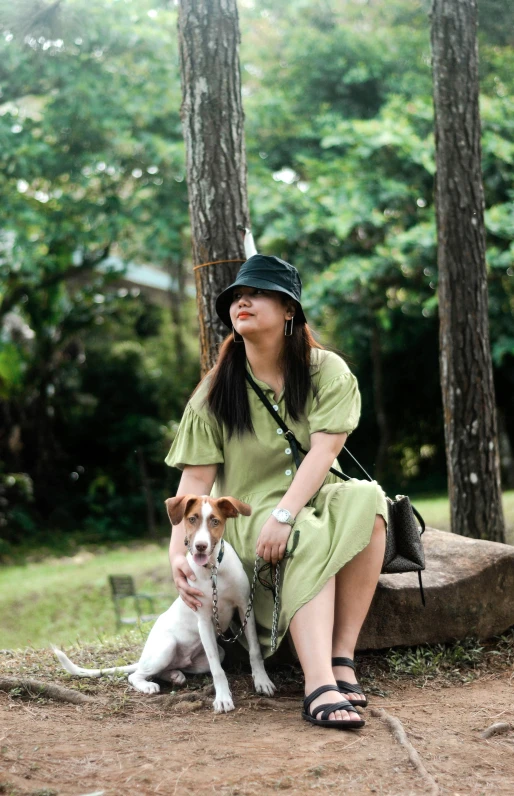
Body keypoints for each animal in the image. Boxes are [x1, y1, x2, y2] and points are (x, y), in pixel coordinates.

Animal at [52, 494, 274, 712]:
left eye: (215, 521)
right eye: (192, 519)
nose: (200, 546)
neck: (213, 571)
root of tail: (143, 658)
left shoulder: (245, 608)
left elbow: (254, 650)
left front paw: (262, 681)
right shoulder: (204, 619)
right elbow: (217, 670)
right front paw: (222, 698)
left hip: (214, 653)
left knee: (165, 669)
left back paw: (174, 675)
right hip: (166, 646)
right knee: (135, 675)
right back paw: (149, 685)